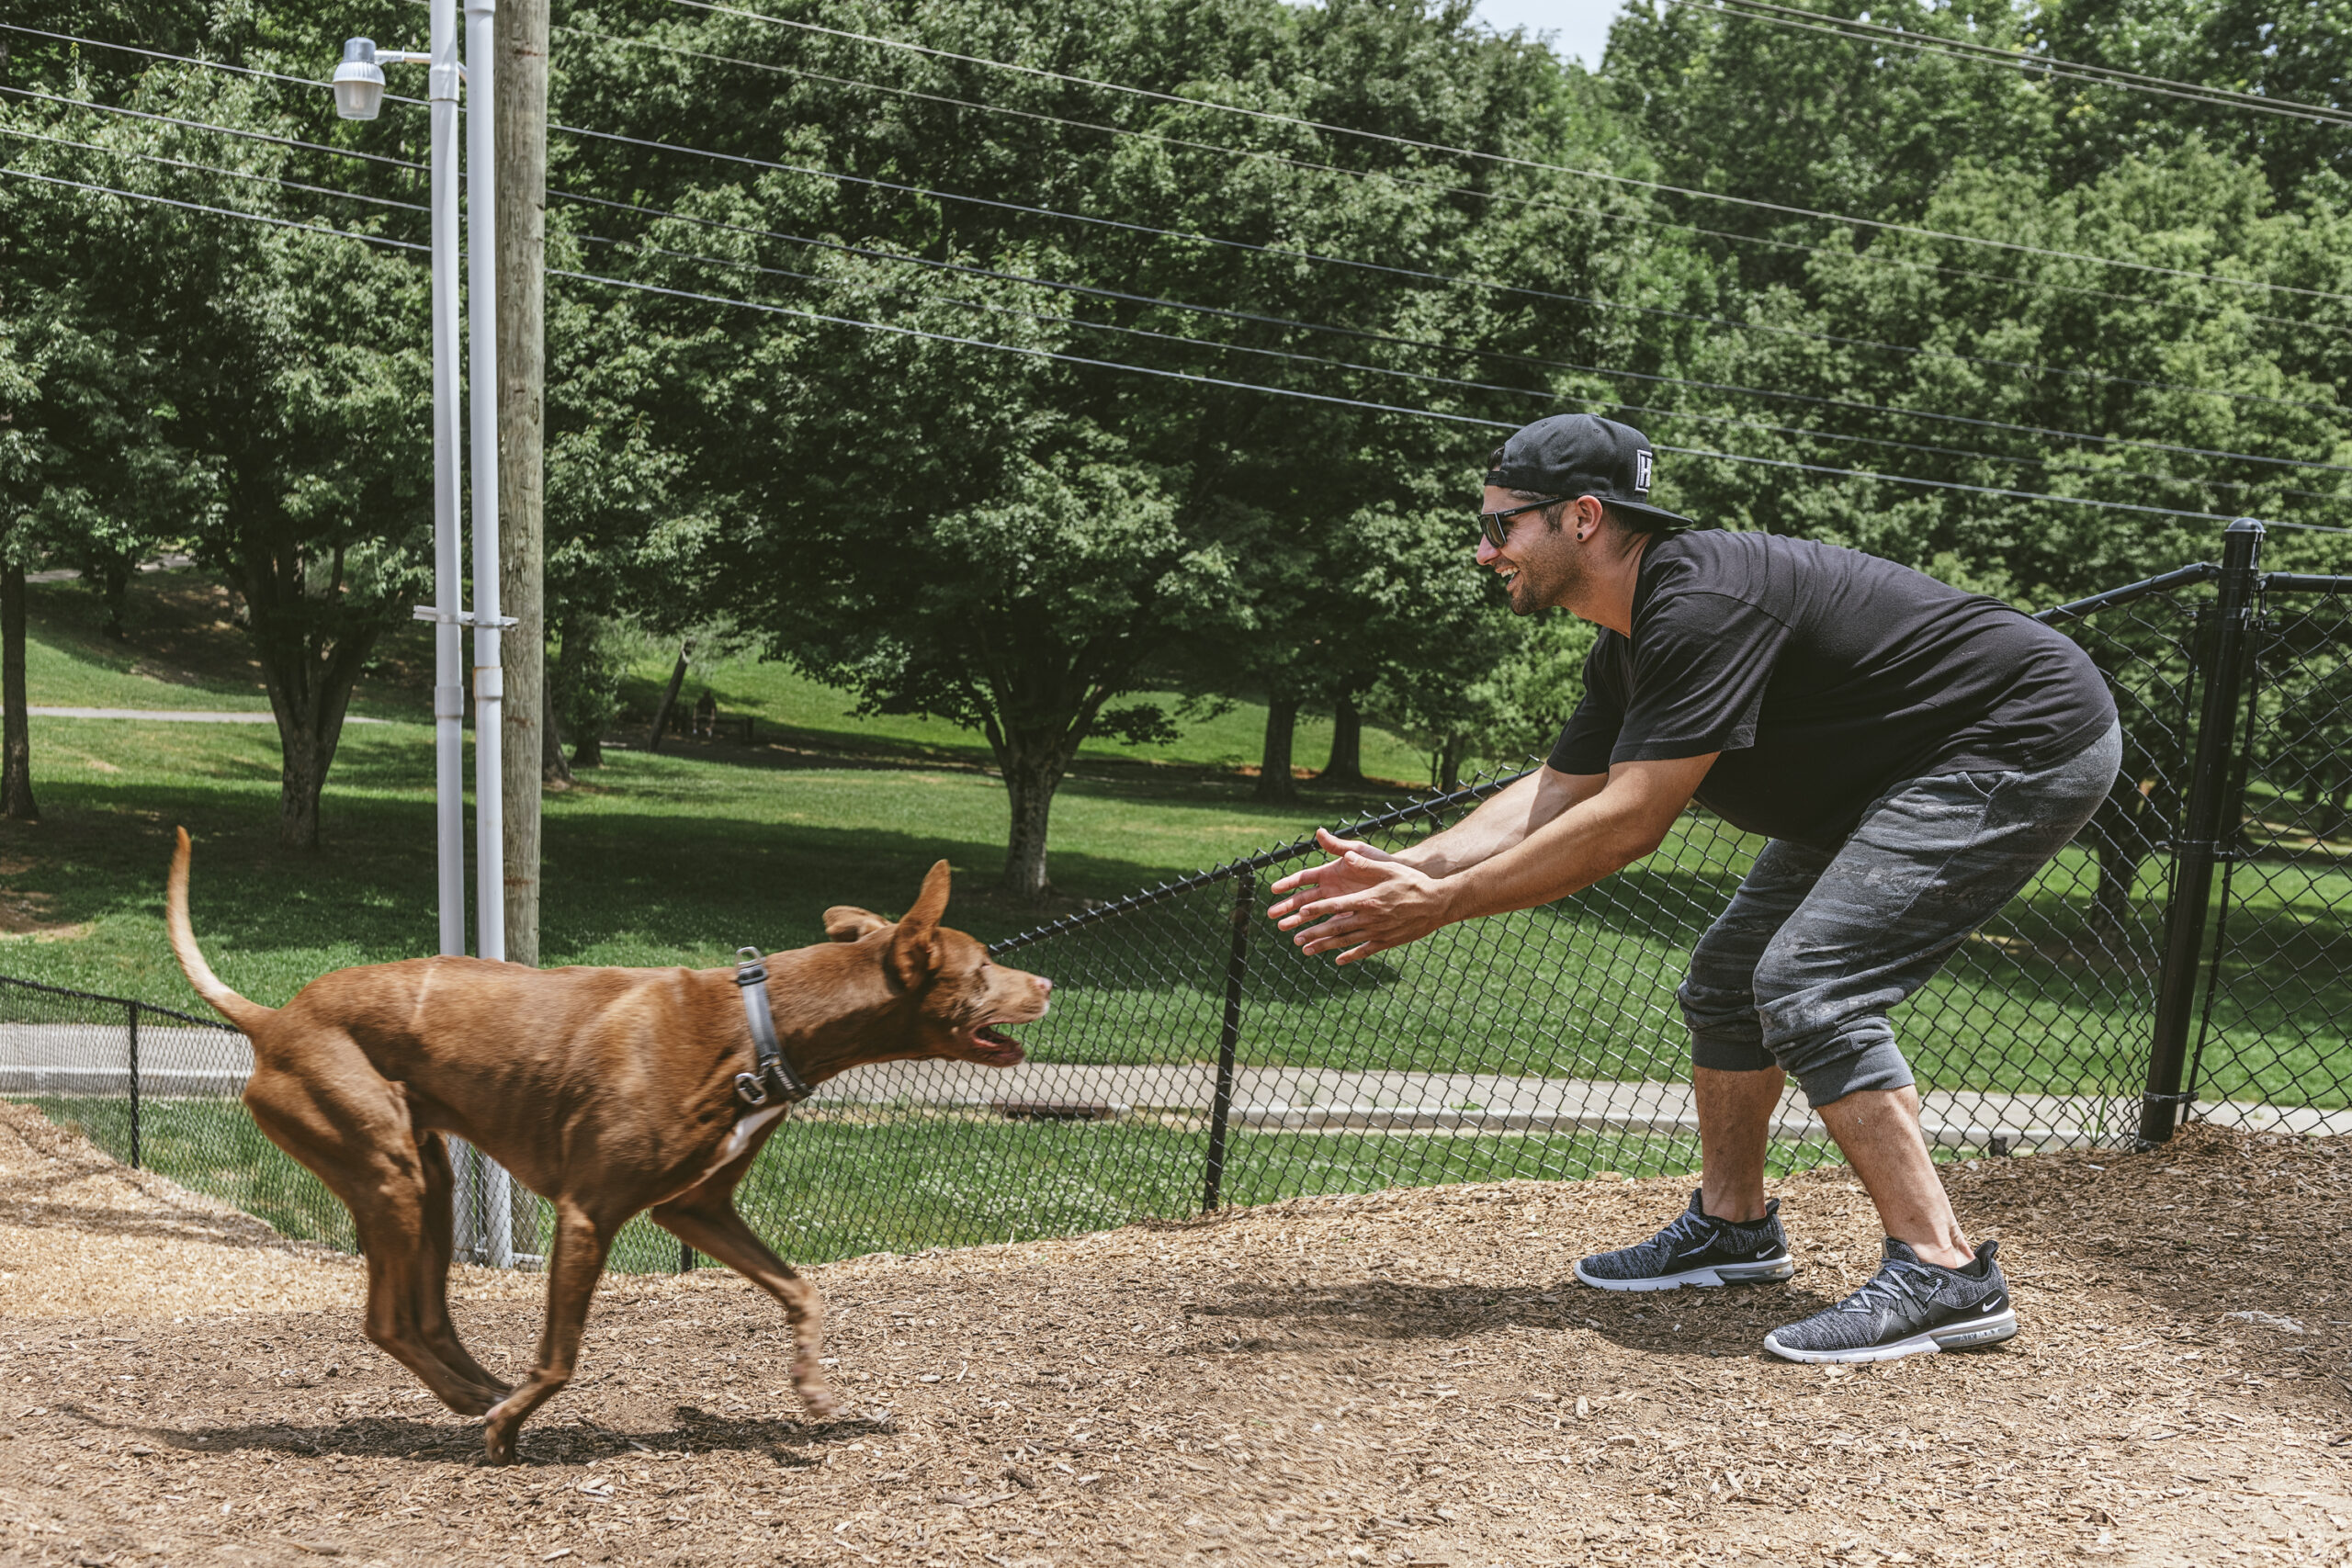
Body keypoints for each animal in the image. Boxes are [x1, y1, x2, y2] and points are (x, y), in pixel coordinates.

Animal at [165, 827, 1048, 1466]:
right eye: (984, 963)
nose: (1045, 984)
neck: (760, 1028)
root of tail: (272, 1018)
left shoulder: (696, 1208)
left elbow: (804, 1290)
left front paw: (812, 1388)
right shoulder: (589, 1212)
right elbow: (561, 1355)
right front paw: (510, 1431)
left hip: (431, 1176)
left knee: (426, 1315)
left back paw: (482, 1389)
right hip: (388, 1170)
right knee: (388, 1320)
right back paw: (482, 1406)